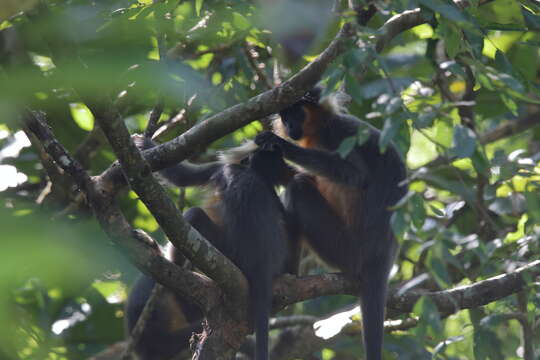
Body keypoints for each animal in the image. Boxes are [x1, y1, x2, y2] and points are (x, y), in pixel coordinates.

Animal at [132, 136, 292, 360]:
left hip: (227, 251)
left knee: (194, 215)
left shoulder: (221, 168)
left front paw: (143, 144)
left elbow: (180, 176)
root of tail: (263, 264)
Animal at [255, 87, 408, 360]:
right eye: (285, 116)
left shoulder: (336, 134)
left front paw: (283, 147)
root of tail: (381, 256)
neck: (319, 127)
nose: (289, 126)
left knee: (299, 188)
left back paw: (287, 274)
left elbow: (355, 175)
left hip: (345, 249)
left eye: (297, 113)